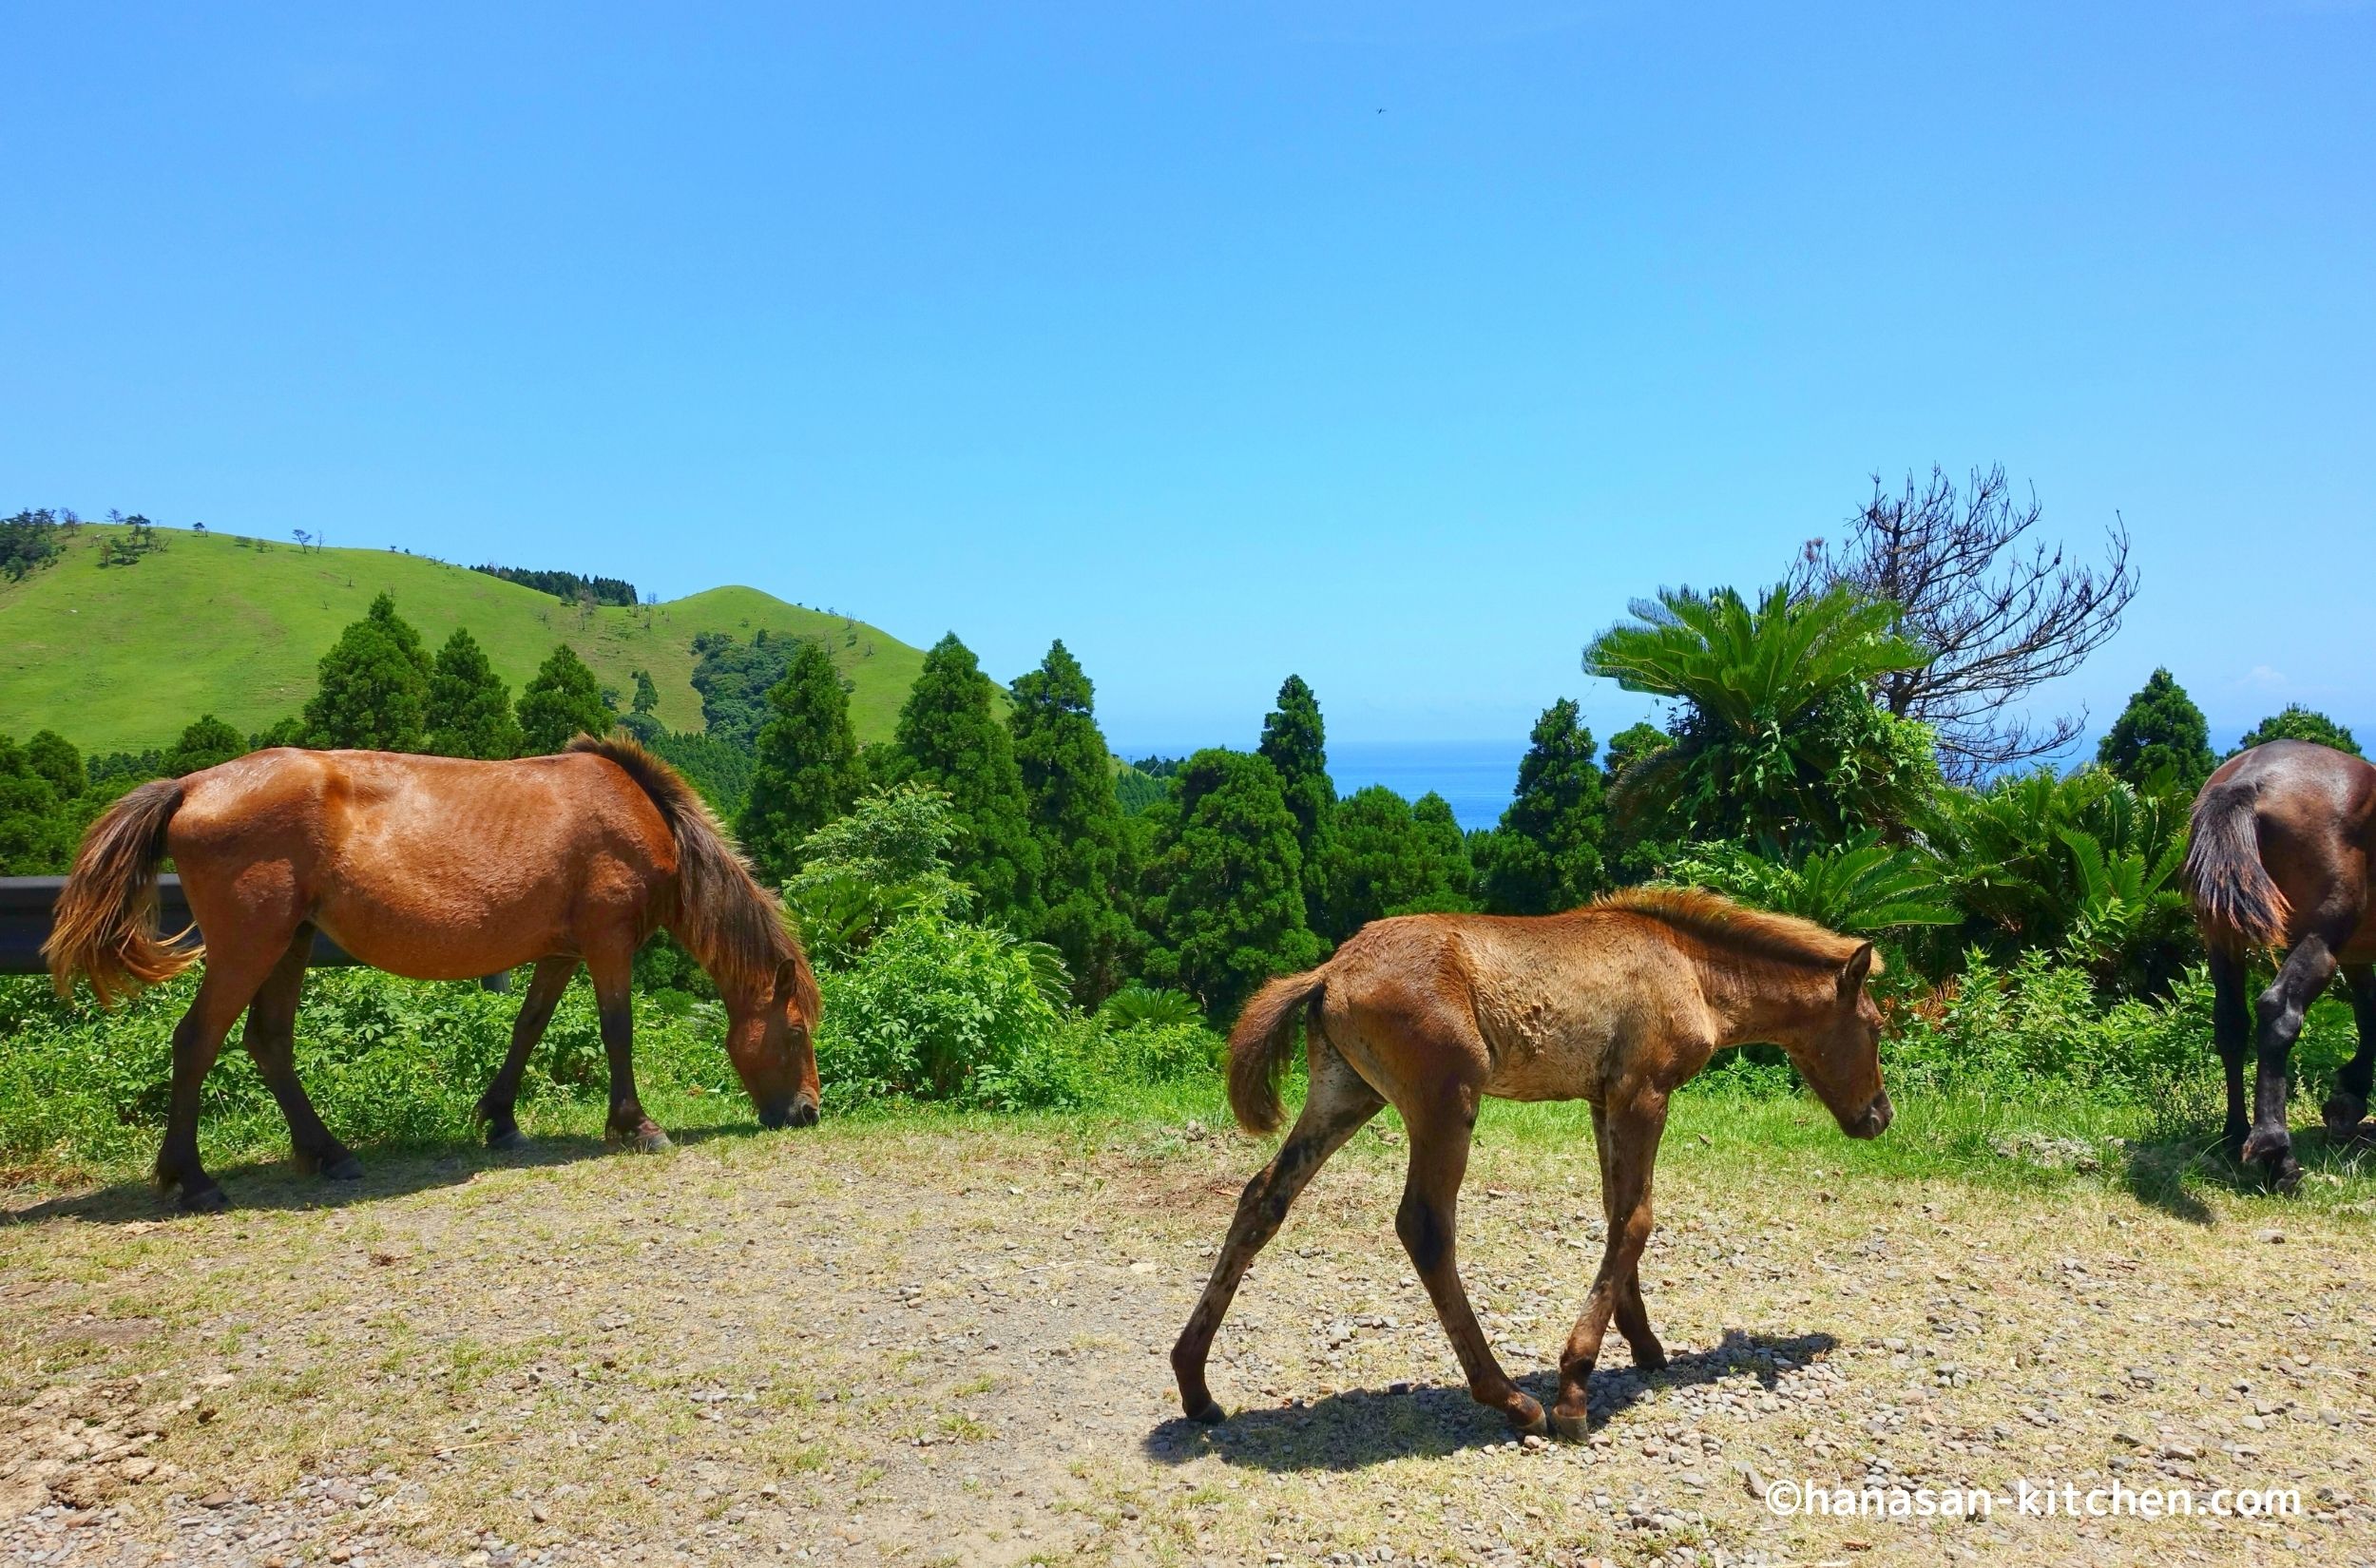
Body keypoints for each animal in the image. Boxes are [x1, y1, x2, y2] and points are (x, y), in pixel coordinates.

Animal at [44, 736, 827, 1212]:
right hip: (249, 946)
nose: (808, 1112)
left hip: (289, 943)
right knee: (196, 1042)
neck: (637, 811)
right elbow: (618, 1032)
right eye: (794, 1033)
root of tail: (192, 785)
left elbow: (527, 1027)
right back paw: (193, 1179)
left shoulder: (560, 952)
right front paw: (636, 1124)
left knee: (268, 1044)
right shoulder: (607, 943)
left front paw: (501, 1120)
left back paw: (328, 1154)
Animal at [1174, 889, 1891, 1435]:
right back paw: (1514, 1401)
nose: (1879, 1116)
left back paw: (1196, 1388)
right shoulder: (1644, 1092)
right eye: (1877, 1026)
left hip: (1345, 1093)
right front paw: (1575, 1388)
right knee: (1424, 1226)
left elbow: (1616, 1213)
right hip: (1445, 1102)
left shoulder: (1605, 1101)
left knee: (1262, 1199)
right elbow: (1638, 1219)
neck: (1692, 970)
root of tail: (1328, 972)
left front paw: (1644, 1346)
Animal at [2186, 736, 2376, 1188]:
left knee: (2231, 1023)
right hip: (2320, 940)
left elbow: (2368, 1013)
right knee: (2278, 1011)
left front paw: (2350, 1096)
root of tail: (2249, 780)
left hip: (2222, 939)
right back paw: (2277, 1155)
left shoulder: (2359, 958)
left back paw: (2234, 1133)